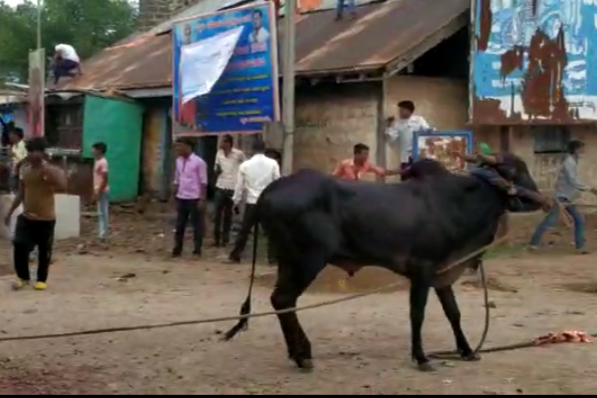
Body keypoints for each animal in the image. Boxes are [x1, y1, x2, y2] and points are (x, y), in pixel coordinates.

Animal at [224, 159, 540, 374]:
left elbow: (454, 314)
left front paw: (466, 350)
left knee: (282, 302)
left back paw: (300, 353)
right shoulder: (422, 271)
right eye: (513, 171)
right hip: (307, 259)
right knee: (283, 299)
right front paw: (421, 357)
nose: (539, 197)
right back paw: (302, 356)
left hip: (288, 261)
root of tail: (270, 189)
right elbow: (417, 314)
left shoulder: (442, 274)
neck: (457, 203)